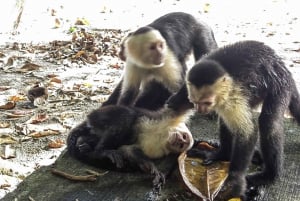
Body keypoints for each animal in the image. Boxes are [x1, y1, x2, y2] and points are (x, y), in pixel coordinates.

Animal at [67, 103, 195, 188]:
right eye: (184, 137)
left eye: (182, 145)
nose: (179, 141)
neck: (164, 138)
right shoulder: (169, 118)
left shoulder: (159, 150)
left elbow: (130, 149)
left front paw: (150, 166)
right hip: (101, 115)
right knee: (127, 116)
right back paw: (101, 150)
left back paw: (84, 144)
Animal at [166, 40, 300, 199]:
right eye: (195, 102)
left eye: (206, 103)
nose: (200, 109)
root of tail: (282, 66)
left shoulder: (234, 95)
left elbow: (248, 132)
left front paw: (235, 179)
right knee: (226, 121)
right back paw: (221, 155)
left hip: (280, 87)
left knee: (269, 123)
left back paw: (270, 176)